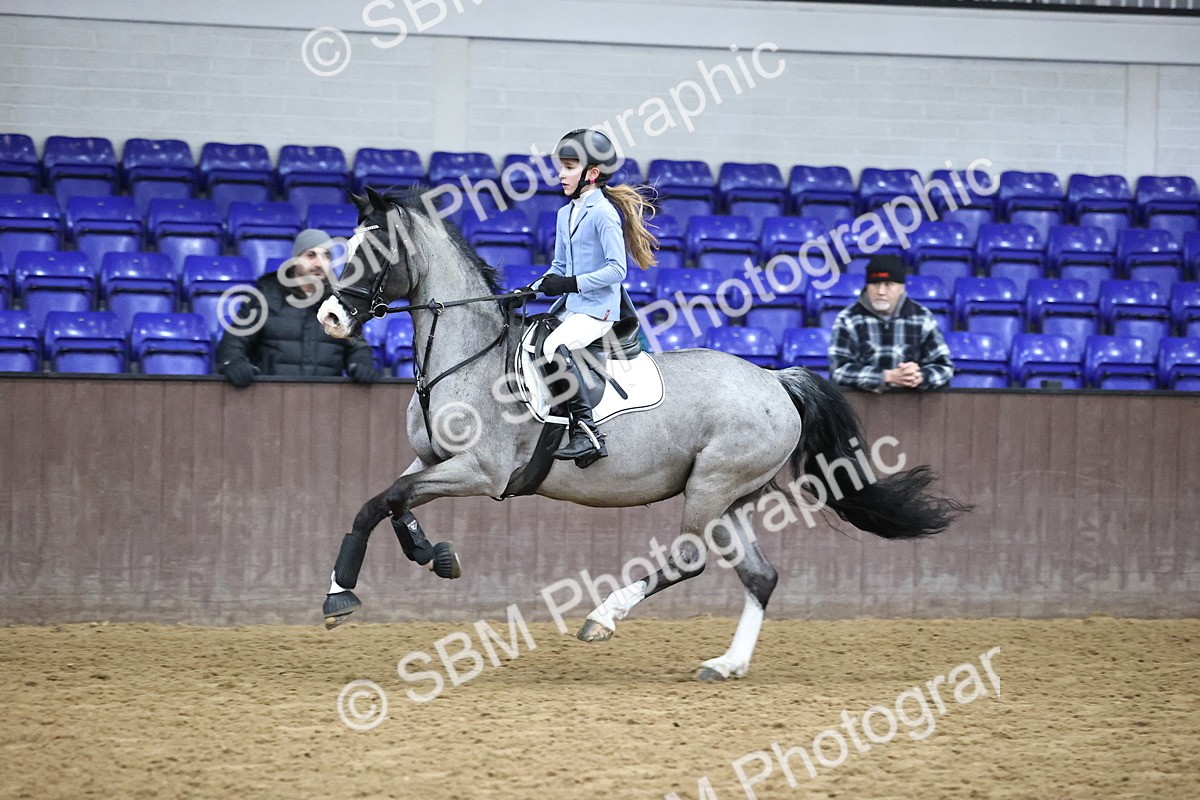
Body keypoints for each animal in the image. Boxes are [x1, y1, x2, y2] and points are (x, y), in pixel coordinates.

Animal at [315, 187, 969, 681]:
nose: (330, 316)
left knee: (688, 559)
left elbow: (381, 501)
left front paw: (340, 596)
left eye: (374, 249)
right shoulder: (430, 460)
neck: (467, 355)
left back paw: (603, 618)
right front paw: (431, 557)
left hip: (710, 487)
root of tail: (776, 380)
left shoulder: (480, 472)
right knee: (760, 575)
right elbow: (389, 504)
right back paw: (726, 665)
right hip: (732, 500)